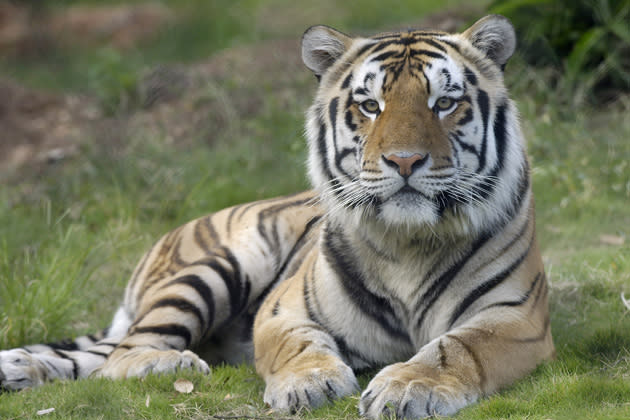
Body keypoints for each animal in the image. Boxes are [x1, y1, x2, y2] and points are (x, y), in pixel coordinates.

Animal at [0, 14, 552, 418]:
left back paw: (19, 368)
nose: (404, 161)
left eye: (444, 102)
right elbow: (300, 346)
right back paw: (168, 365)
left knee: (99, 357)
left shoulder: (513, 315)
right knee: (122, 354)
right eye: (370, 105)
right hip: (219, 266)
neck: (408, 242)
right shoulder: (284, 309)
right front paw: (309, 384)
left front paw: (407, 387)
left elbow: (456, 347)